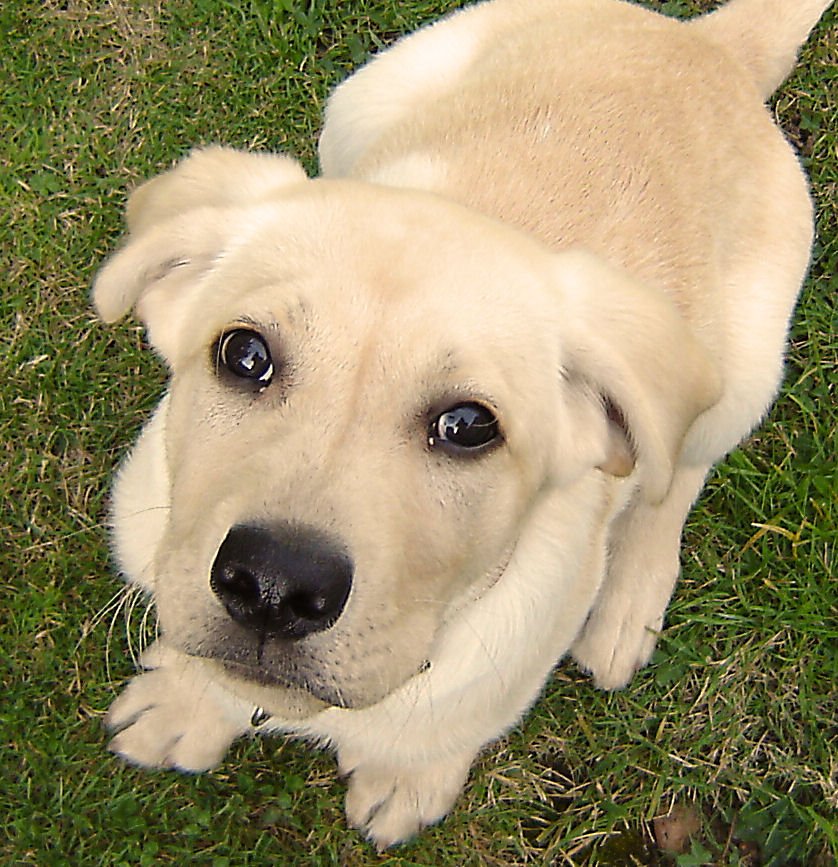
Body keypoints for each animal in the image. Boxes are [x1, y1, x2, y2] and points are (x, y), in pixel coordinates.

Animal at [93, 0, 832, 848]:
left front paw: (409, 777)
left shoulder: (514, 655)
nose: (273, 586)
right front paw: (186, 702)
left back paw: (629, 604)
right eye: (243, 354)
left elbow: (451, 725)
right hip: (360, 100)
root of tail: (705, 46)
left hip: (743, 370)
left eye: (469, 425)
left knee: (673, 475)